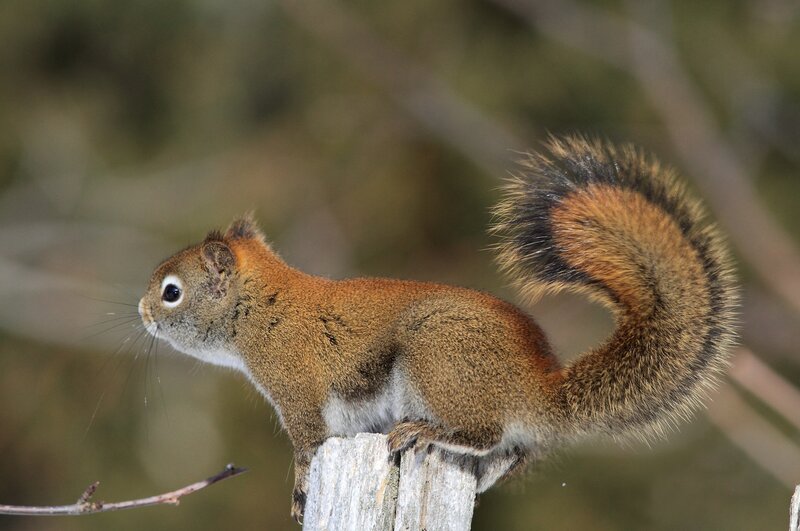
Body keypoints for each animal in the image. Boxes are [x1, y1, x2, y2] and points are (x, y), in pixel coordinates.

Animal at [138, 136, 737, 524]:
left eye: (172, 292)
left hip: (435, 359)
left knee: (483, 432)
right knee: (504, 453)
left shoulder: (298, 388)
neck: (264, 309)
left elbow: (308, 447)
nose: (141, 312)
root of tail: (538, 391)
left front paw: (301, 490)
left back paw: (425, 432)